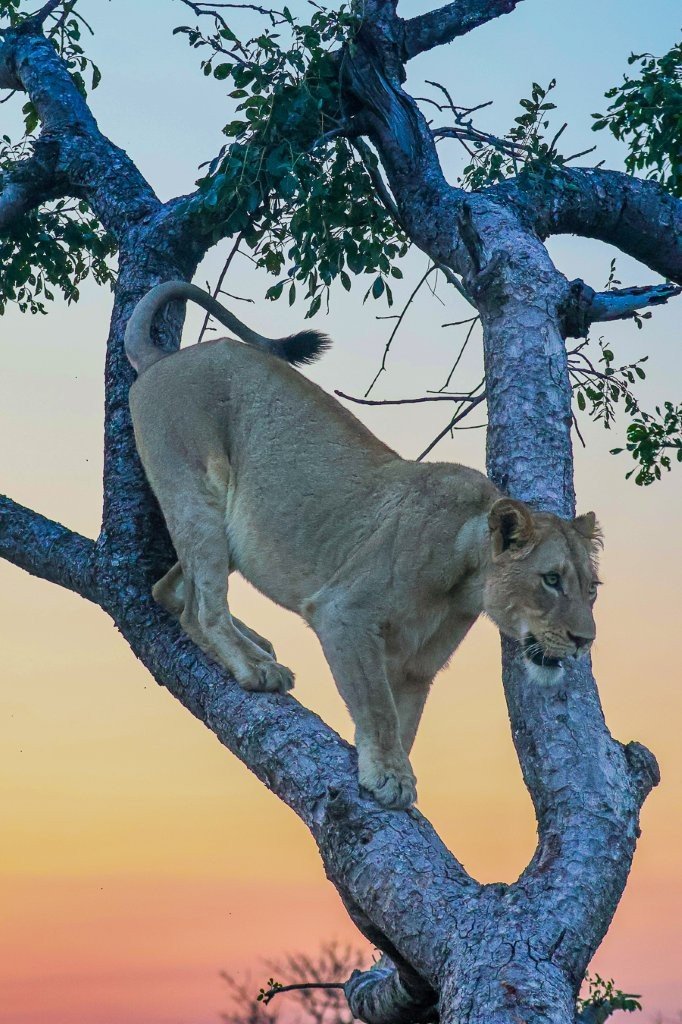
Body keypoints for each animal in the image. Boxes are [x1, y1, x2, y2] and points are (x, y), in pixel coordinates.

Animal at [125, 281, 602, 810]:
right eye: (551, 580)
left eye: (592, 589)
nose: (585, 641)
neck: (466, 579)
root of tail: (163, 360)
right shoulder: (344, 614)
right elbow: (377, 707)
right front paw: (390, 777)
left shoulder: (418, 666)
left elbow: (405, 721)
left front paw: (394, 771)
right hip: (197, 496)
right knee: (199, 609)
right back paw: (255, 666)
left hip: (230, 528)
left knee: (168, 590)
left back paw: (258, 644)